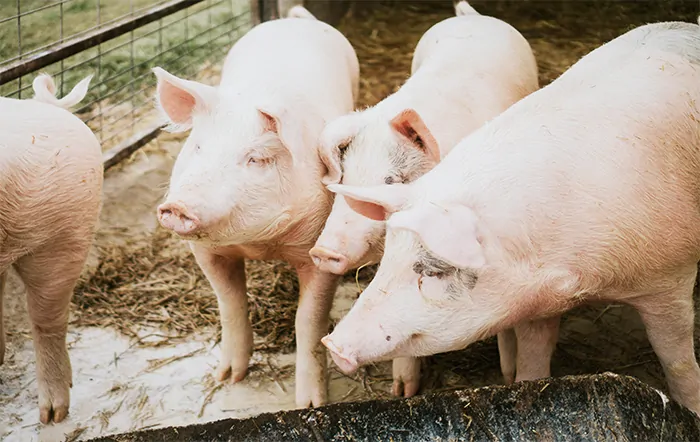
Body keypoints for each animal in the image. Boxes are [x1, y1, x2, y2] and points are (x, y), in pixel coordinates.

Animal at [155, 6, 358, 408]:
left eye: (257, 159)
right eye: (197, 147)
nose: (179, 206)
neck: (260, 244)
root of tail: (294, 19)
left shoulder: (321, 249)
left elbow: (309, 321)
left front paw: (311, 404)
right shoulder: (205, 252)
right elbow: (229, 303)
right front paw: (227, 378)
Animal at [308, 0, 540, 398]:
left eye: (391, 179)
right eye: (345, 177)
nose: (322, 251)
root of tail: (471, 16)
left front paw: (509, 376)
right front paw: (402, 392)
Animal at [324, 19, 700, 416]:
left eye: (434, 271)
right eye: (387, 261)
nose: (332, 343)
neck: (578, 280)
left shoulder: (670, 277)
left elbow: (677, 360)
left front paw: (692, 410)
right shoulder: (536, 302)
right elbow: (533, 360)